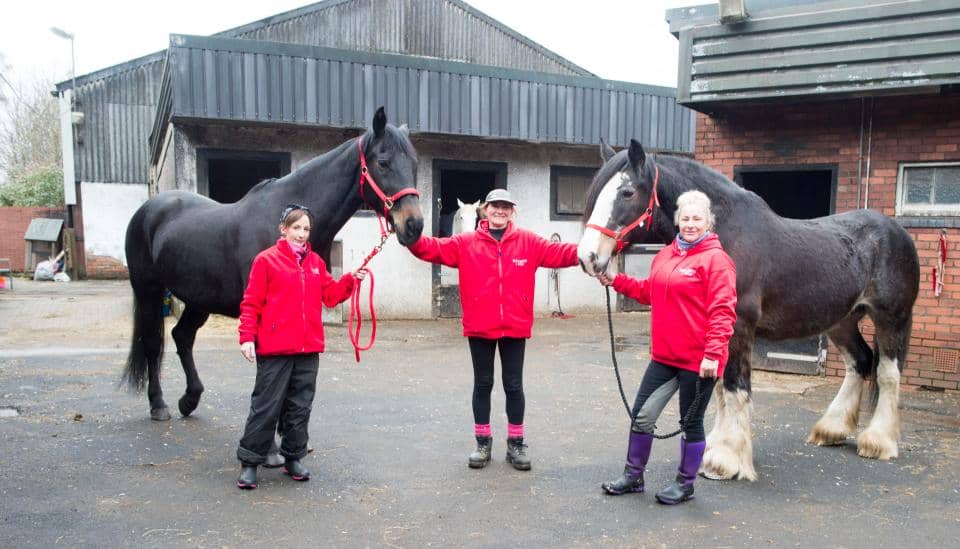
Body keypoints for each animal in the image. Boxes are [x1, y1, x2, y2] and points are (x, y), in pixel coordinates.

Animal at [122, 109, 422, 422]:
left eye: (414, 164)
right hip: (148, 290)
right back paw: (159, 404)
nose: (414, 225)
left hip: (199, 297)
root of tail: (149, 209)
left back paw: (189, 400)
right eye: (383, 162)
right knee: (152, 342)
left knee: (182, 336)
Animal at [576, 140, 924, 480]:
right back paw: (832, 429)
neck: (726, 236)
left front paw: (725, 460)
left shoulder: (739, 327)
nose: (588, 257)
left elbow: (734, 387)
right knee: (860, 362)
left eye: (626, 192)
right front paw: (714, 451)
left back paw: (878, 441)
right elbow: (717, 389)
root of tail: (897, 231)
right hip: (842, 321)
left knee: (888, 373)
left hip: (892, 318)